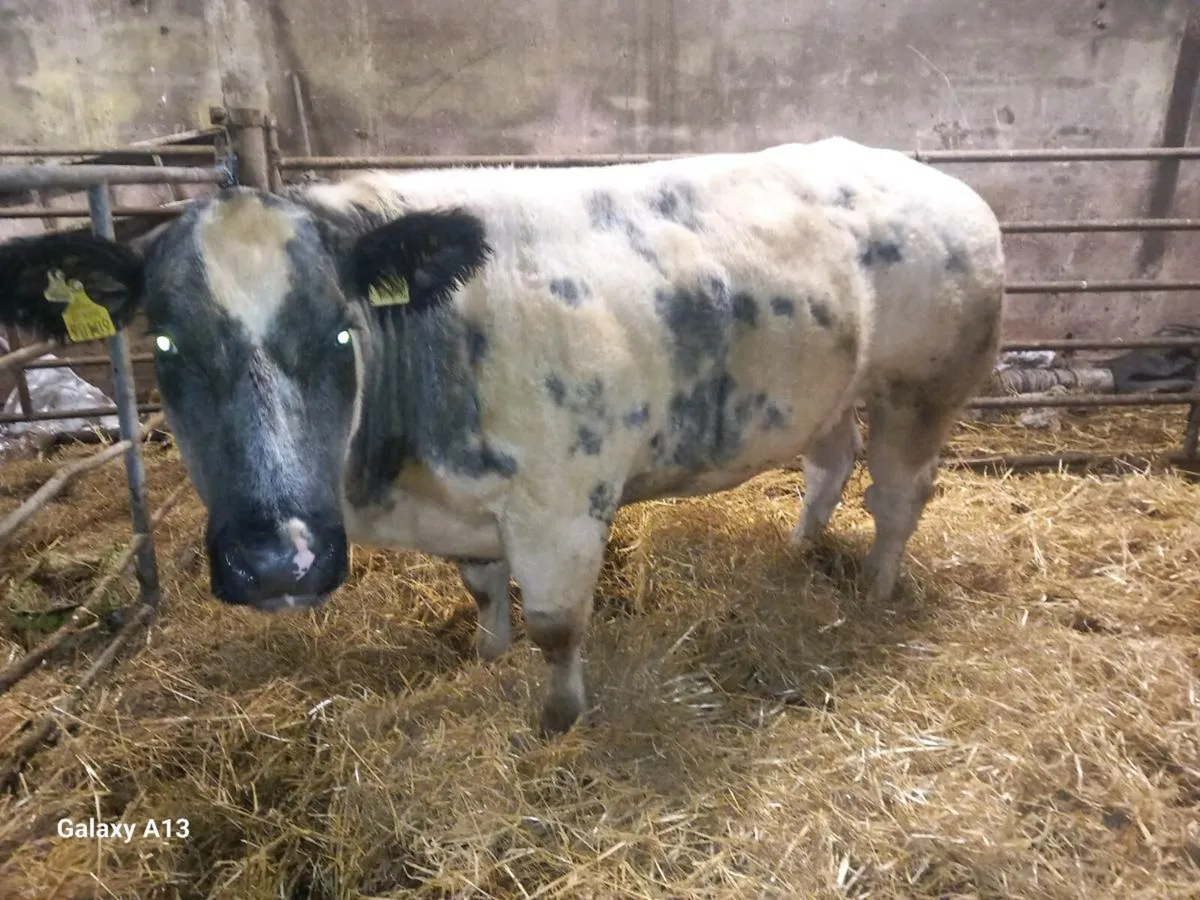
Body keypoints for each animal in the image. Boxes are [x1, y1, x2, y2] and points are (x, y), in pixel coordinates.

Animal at [0, 138, 1004, 736]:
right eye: (165, 345)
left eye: (339, 332)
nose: (278, 558)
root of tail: (939, 178)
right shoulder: (466, 512)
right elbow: (483, 590)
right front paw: (486, 658)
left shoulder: (562, 506)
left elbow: (558, 627)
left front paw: (557, 720)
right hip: (832, 389)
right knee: (830, 461)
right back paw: (798, 550)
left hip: (928, 386)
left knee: (899, 493)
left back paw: (875, 588)